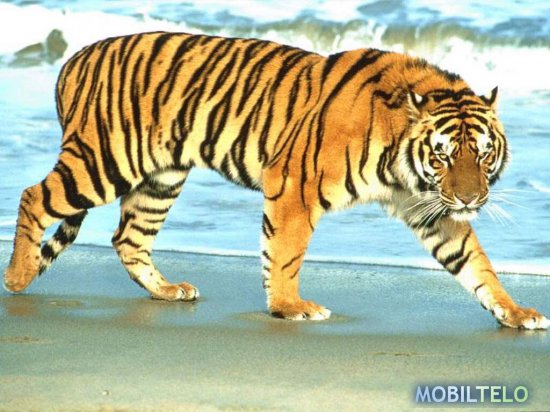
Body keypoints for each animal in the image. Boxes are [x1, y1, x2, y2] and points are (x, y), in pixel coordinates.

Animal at [3, 31, 548, 329]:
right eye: (442, 156)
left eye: (482, 154)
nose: (470, 198)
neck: (403, 158)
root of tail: (72, 58)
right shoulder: (294, 184)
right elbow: (285, 253)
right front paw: (290, 307)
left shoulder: (430, 209)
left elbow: (476, 265)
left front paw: (517, 313)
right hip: (102, 161)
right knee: (34, 196)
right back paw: (18, 277)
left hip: (161, 177)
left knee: (129, 238)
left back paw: (168, 291)